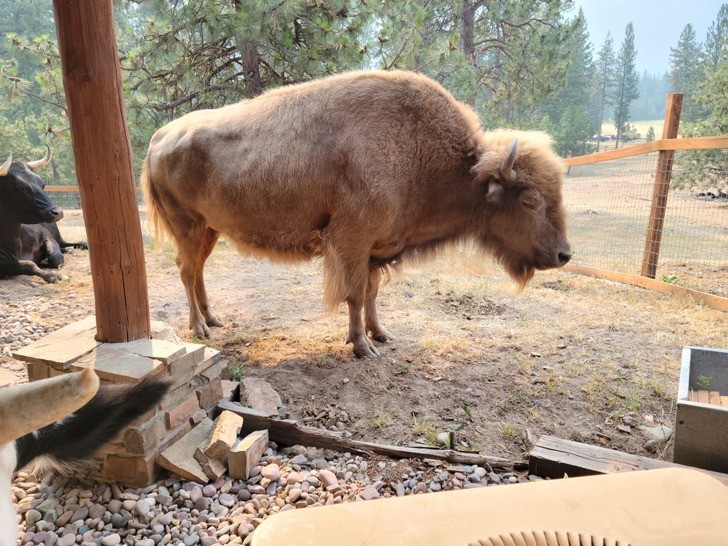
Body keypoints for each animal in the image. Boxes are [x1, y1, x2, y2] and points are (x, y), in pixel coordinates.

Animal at [142, 69, 572, 356]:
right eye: (529, 199)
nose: (564, 254)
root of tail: (157, 140)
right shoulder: (352, 241)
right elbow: (353, 293)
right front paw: (363, 346)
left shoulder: (376, 249)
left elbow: (371, 292)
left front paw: (380, 334)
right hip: (189, 227)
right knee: (186, 270)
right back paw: (200, 329)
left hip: (210, 230)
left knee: (197, 270)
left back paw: (213, 319)